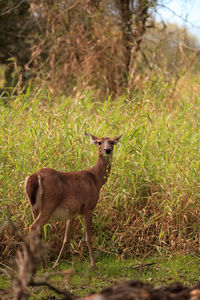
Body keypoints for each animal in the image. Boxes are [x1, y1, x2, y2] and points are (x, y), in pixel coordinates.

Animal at [25, 132, 122, 268]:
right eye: (99, 142)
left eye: (112, 142)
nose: (107, 150)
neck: (96, 179)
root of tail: (33, 177)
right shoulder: (89, 206)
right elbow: (88, 237)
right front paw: (93, 264)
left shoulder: (72, 213)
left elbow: (66, 238)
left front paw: (56, 263)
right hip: (49, 203)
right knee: (33, 227)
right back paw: (38, 266)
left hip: (33, 207)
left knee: (37, 231)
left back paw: (42, 265)